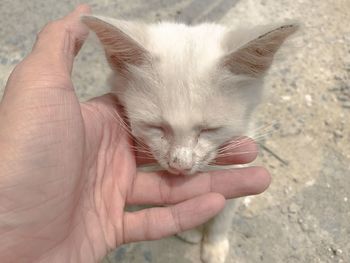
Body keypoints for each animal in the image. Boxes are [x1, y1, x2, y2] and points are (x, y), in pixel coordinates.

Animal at [82, 15, 298, 262]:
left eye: (209, 130)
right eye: (156, 127)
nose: (180, 165)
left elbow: (223, 217)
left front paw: (215, 245)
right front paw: (190, 232)